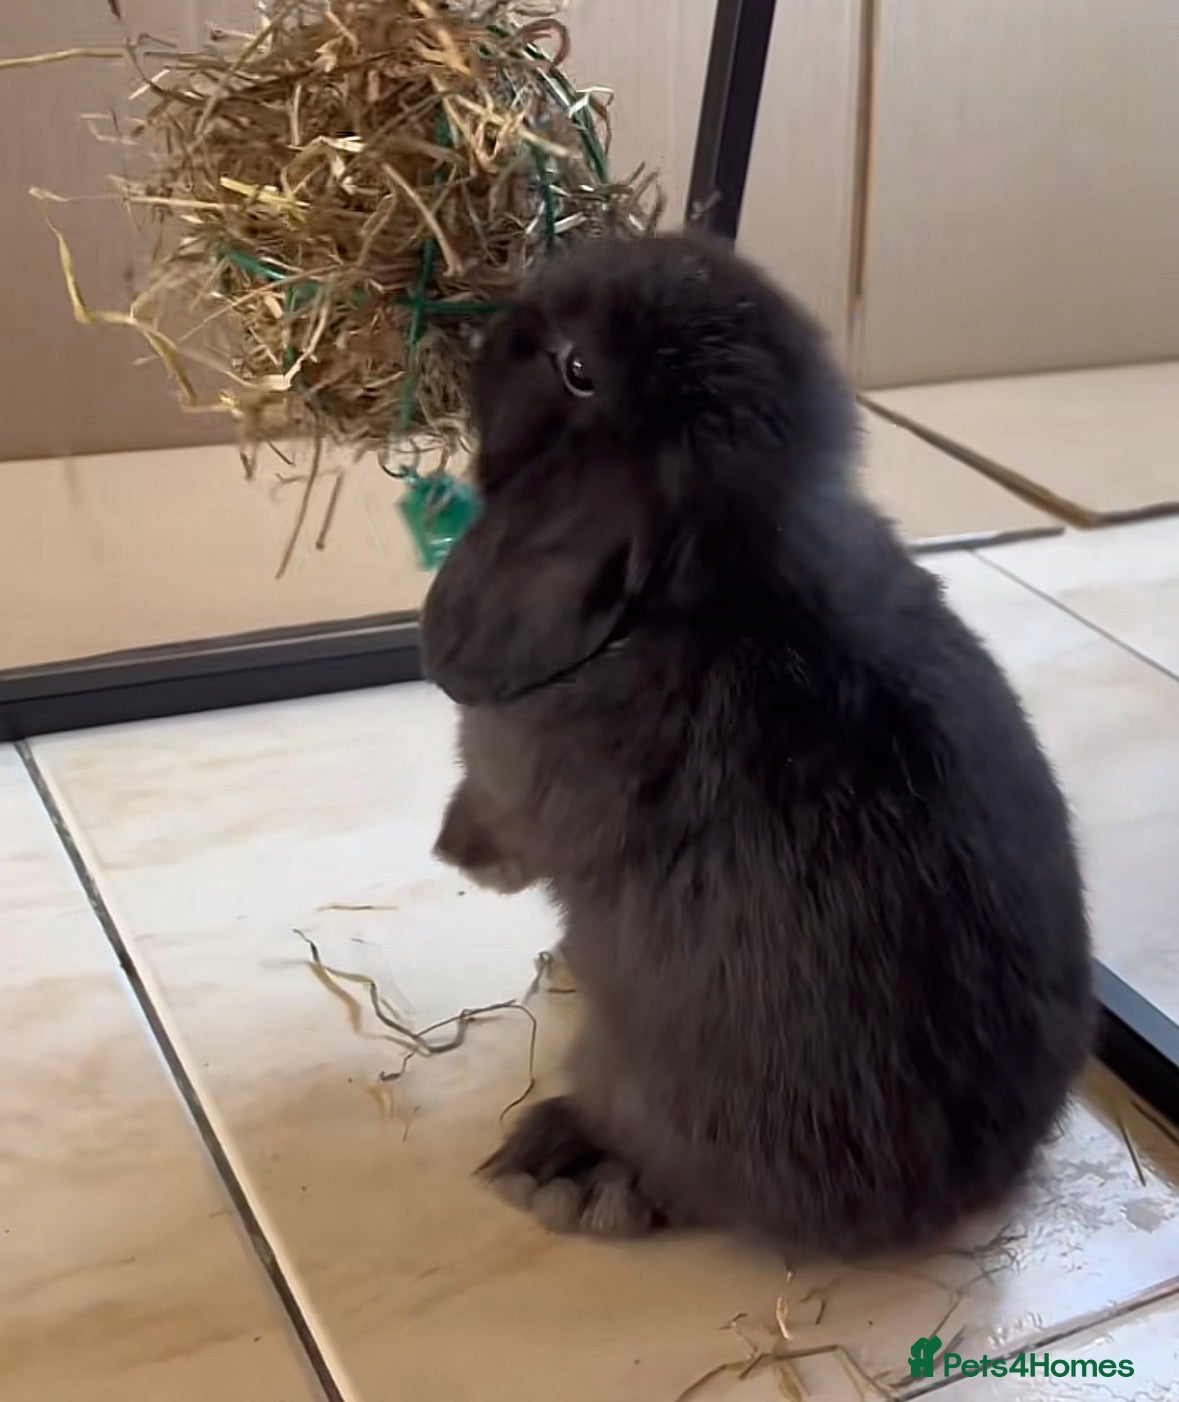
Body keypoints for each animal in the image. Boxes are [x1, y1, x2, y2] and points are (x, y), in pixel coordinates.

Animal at [420, 231, 1093, 1259]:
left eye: (578, 370)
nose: (494, 333)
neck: (727, 576)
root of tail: (941, 1197)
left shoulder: (518, 782)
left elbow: (501, 814)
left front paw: (459, 853)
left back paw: (567, 1172)